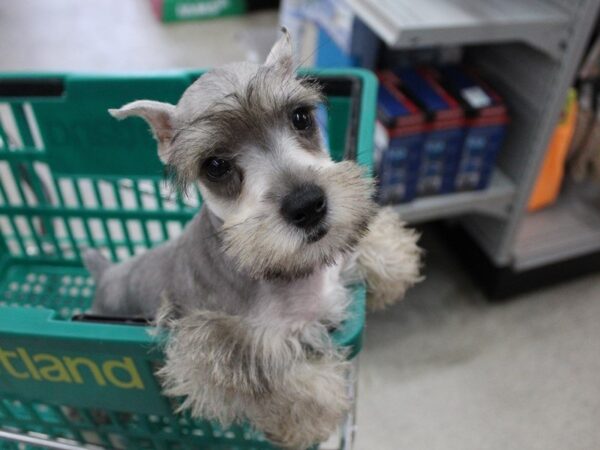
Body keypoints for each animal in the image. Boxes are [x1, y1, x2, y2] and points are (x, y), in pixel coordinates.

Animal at [84, 29, 422, 448]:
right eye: (215, 165)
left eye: (301, 117)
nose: (307, 205)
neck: (286, 276)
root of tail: (104, 273)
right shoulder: (212, 340)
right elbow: (269, 368)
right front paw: (314, 410)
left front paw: (393, 257)